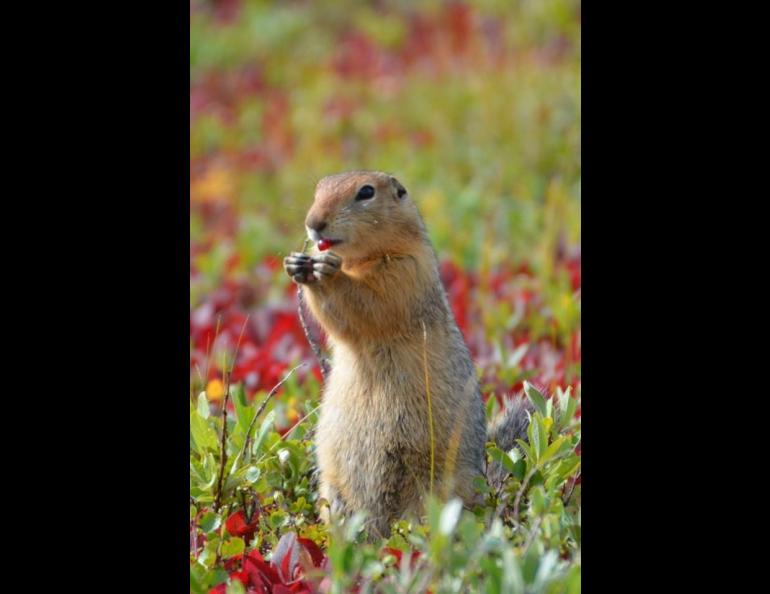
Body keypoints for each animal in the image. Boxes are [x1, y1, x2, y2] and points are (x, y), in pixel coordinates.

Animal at [283, 171, 531, 538]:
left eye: (366, 192)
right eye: (318, 189)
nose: (314, 223)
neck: (361, 258)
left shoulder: (405, 271)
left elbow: (369, 301)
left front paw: (326, 271)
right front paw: (298, 264)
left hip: (431, 491)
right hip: (335, 491)